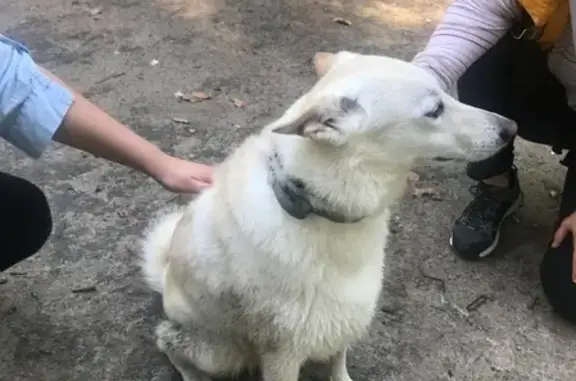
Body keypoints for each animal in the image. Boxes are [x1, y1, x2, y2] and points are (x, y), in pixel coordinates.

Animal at [141, 51, 516, 380]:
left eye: (446, 94)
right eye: (435, 110)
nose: (511, 128)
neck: (318, 209)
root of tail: (165, 277)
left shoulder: (343, 316)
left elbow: (338, 362)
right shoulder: (282, 352)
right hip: (219, 352)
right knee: (166, 343)